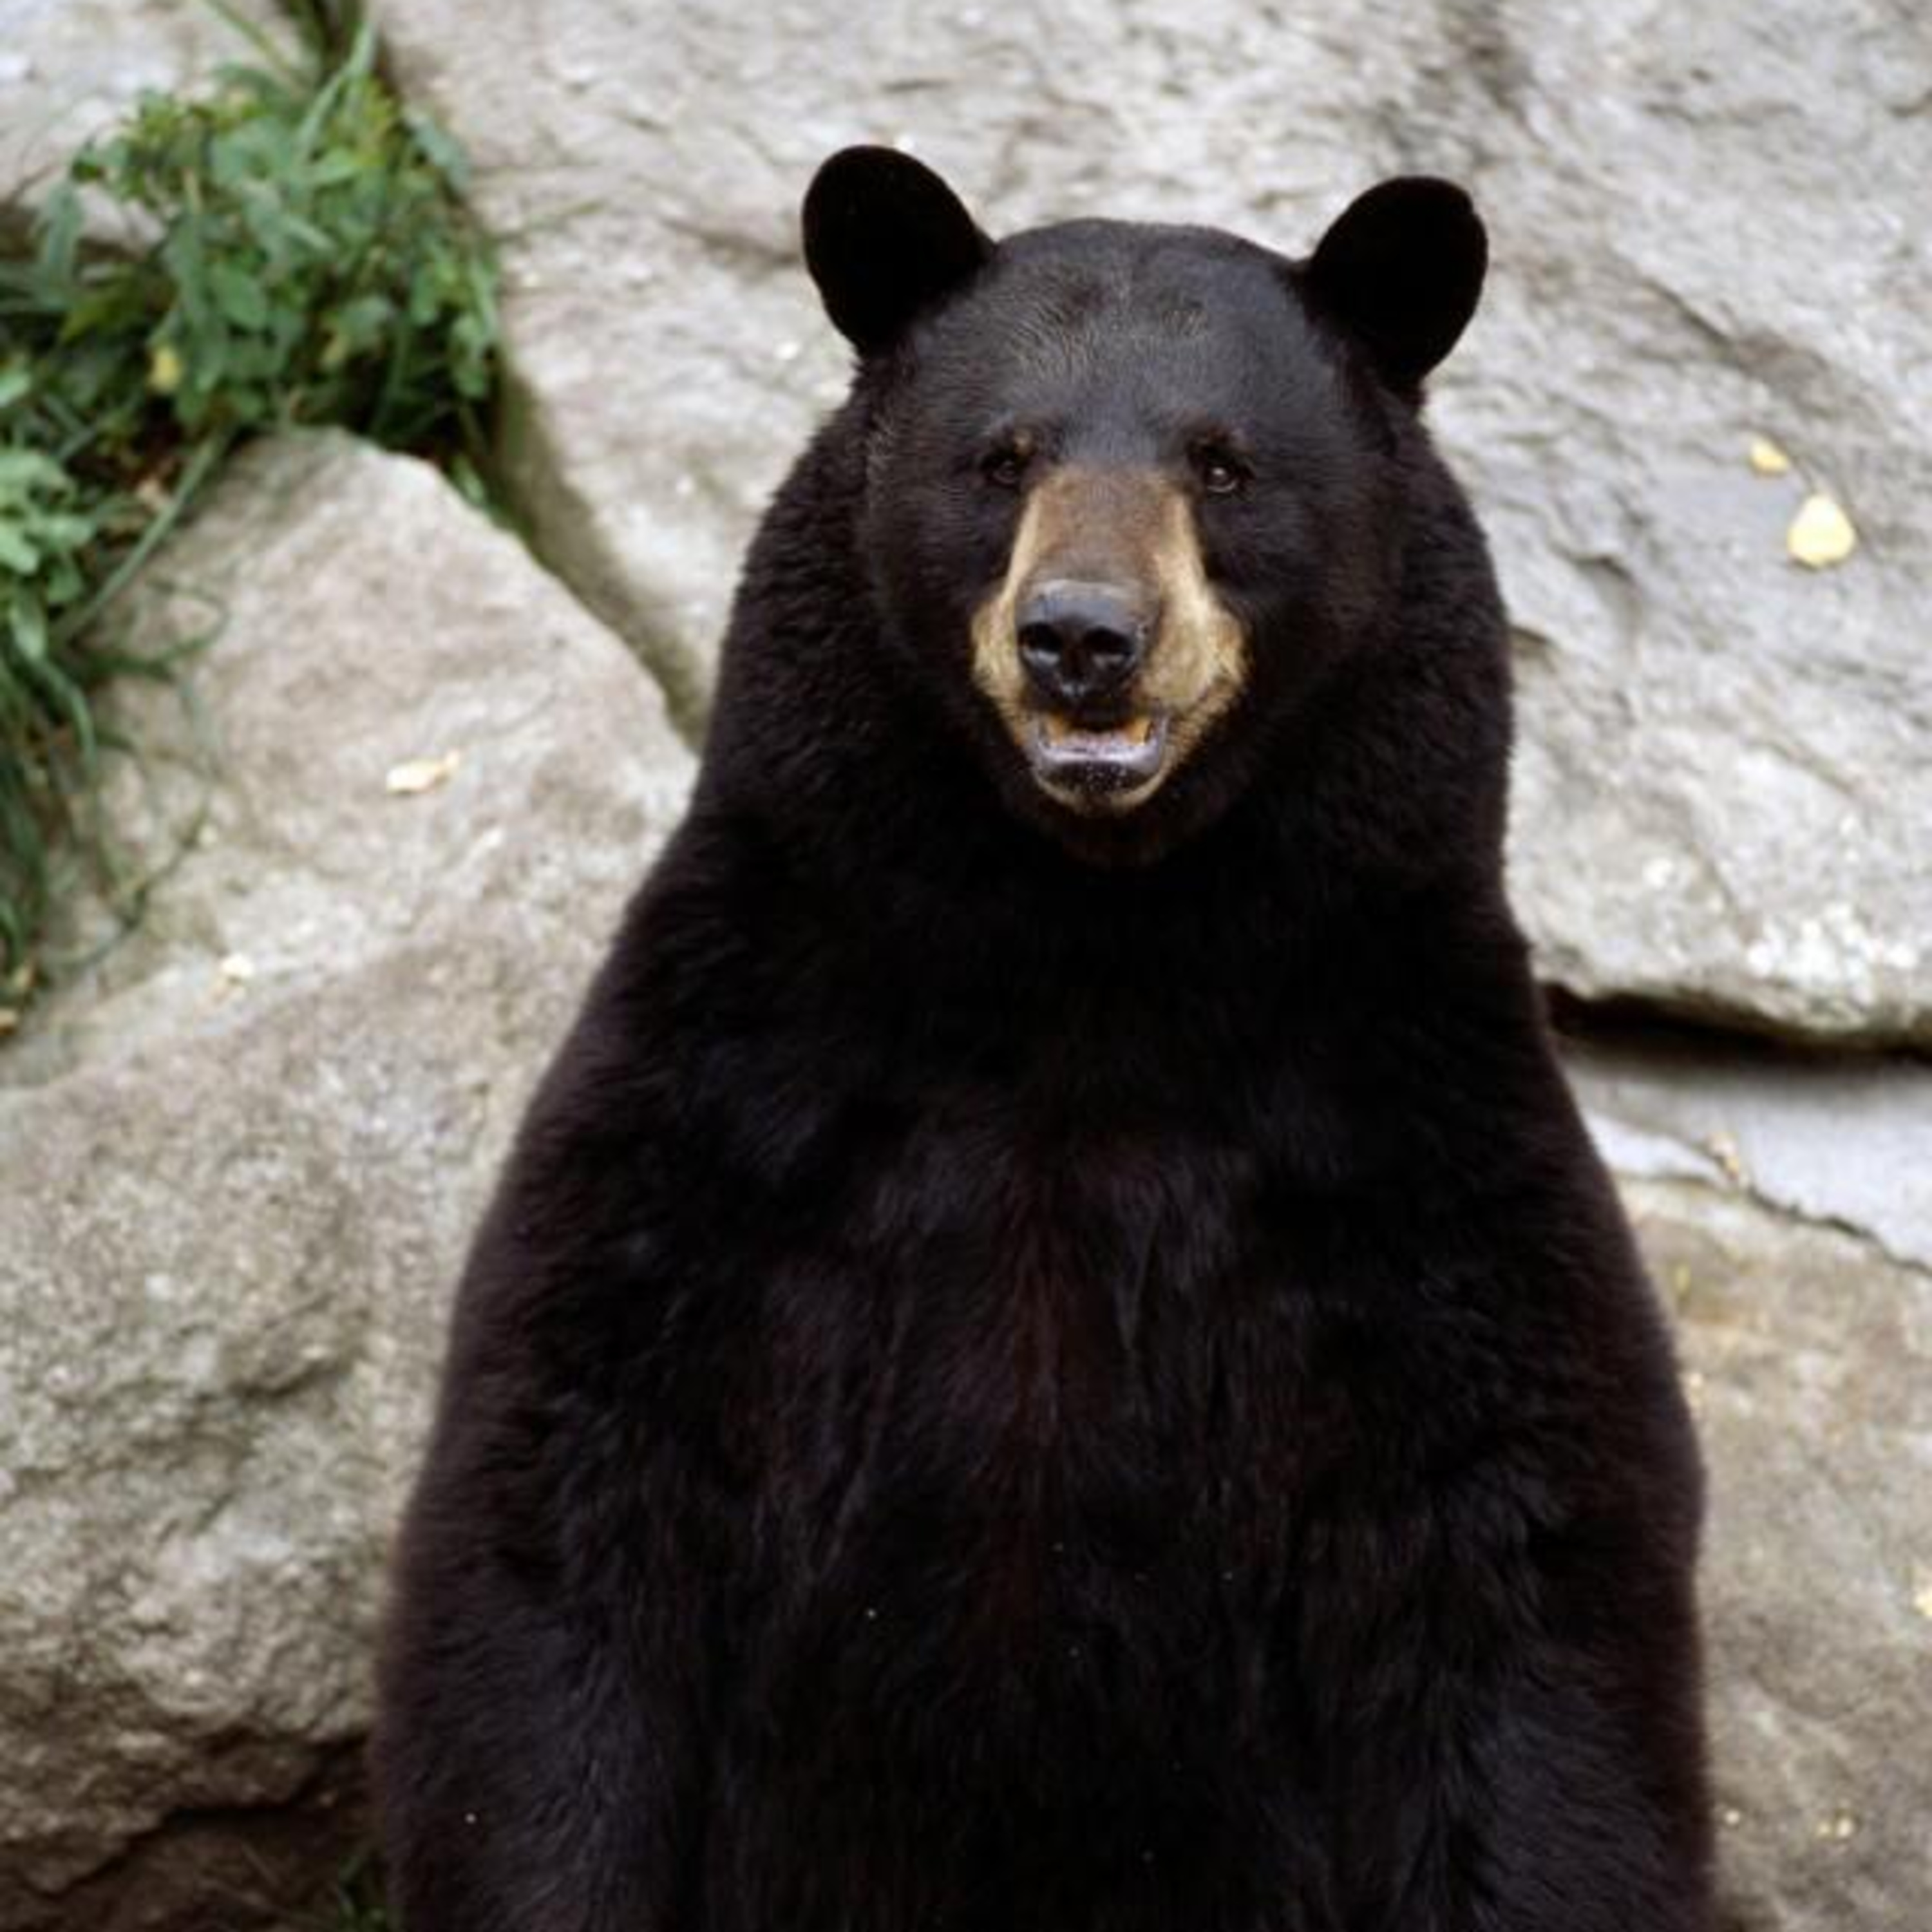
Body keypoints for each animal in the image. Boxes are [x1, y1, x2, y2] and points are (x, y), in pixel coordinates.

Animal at [374, 147, 1713, 1932]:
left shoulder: (1399, 1127)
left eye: (1221, 463)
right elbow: (570, 1497)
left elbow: (1520, 1565)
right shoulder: (739, 1088)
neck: (1088, 961)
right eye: (1001, 456)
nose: (1081, 636)